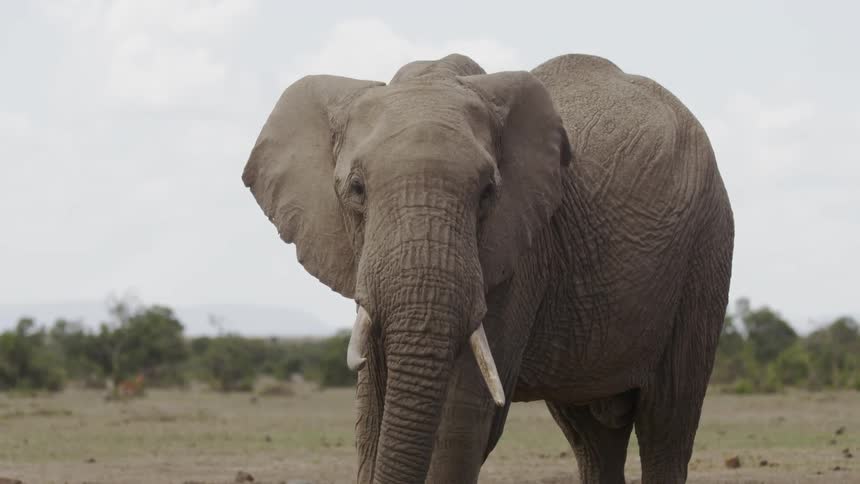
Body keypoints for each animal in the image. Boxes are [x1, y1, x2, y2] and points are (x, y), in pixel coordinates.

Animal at [242, 53, 734, 483]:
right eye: (356, 189)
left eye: (487, 193)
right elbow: (372, 414)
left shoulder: (520, 253)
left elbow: (461, 417)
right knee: (592, 437)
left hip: (707, 250)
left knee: (666, 422)